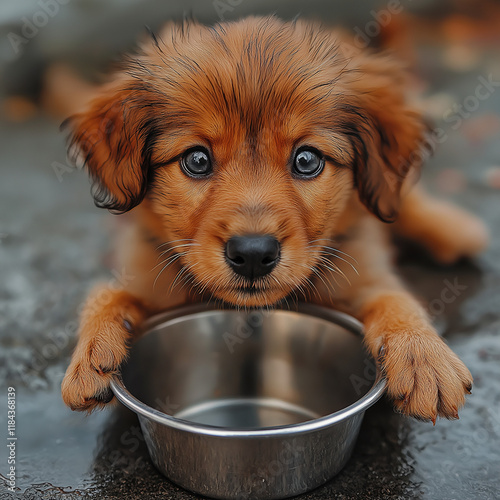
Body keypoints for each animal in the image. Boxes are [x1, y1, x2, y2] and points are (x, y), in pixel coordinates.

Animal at [59, 16, 488, 422]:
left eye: (307, 159)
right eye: (196, 160)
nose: (252, 254)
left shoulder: (362, 272)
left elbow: (394, 297)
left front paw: (423, 357)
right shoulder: (149, 278)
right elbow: (107, 293)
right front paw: (91, 353)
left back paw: (453, 229)